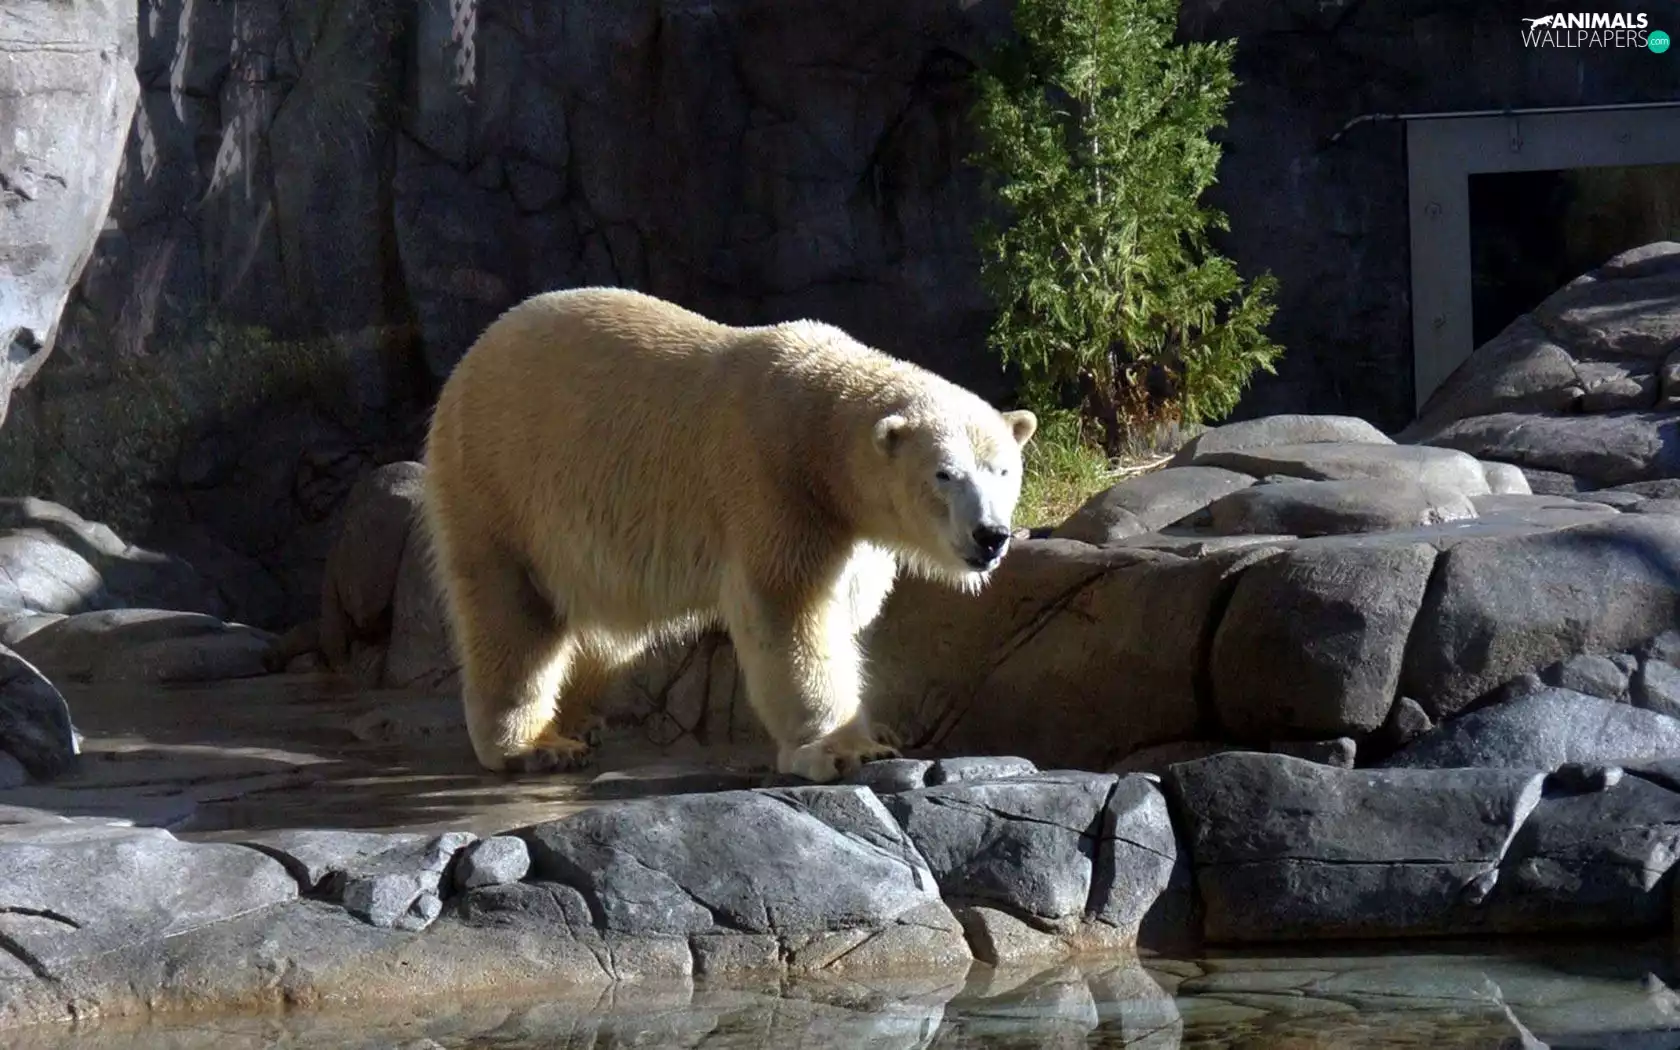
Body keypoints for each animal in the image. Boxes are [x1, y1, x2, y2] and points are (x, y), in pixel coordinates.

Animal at [420, 287, 1037, 782]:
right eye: (945, 474)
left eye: (1003, 470)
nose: (991, 535)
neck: (816, 423)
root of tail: (468, 361)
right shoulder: (773, 485)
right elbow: (788, 612)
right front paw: (844, 749)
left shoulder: (849, 525)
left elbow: (849, 604)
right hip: (499, 482)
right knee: (513, 615)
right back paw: (535, 745)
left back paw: (582, 719)